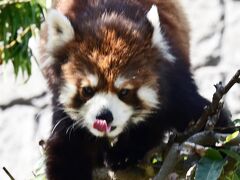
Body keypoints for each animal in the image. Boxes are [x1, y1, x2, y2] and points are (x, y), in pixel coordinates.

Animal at [39, 0, 231, 179]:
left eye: (124, 92)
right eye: (87, 90)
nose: (104, 116)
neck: (108, 19)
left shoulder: (175, 86)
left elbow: (210, 121)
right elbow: (67, 151)